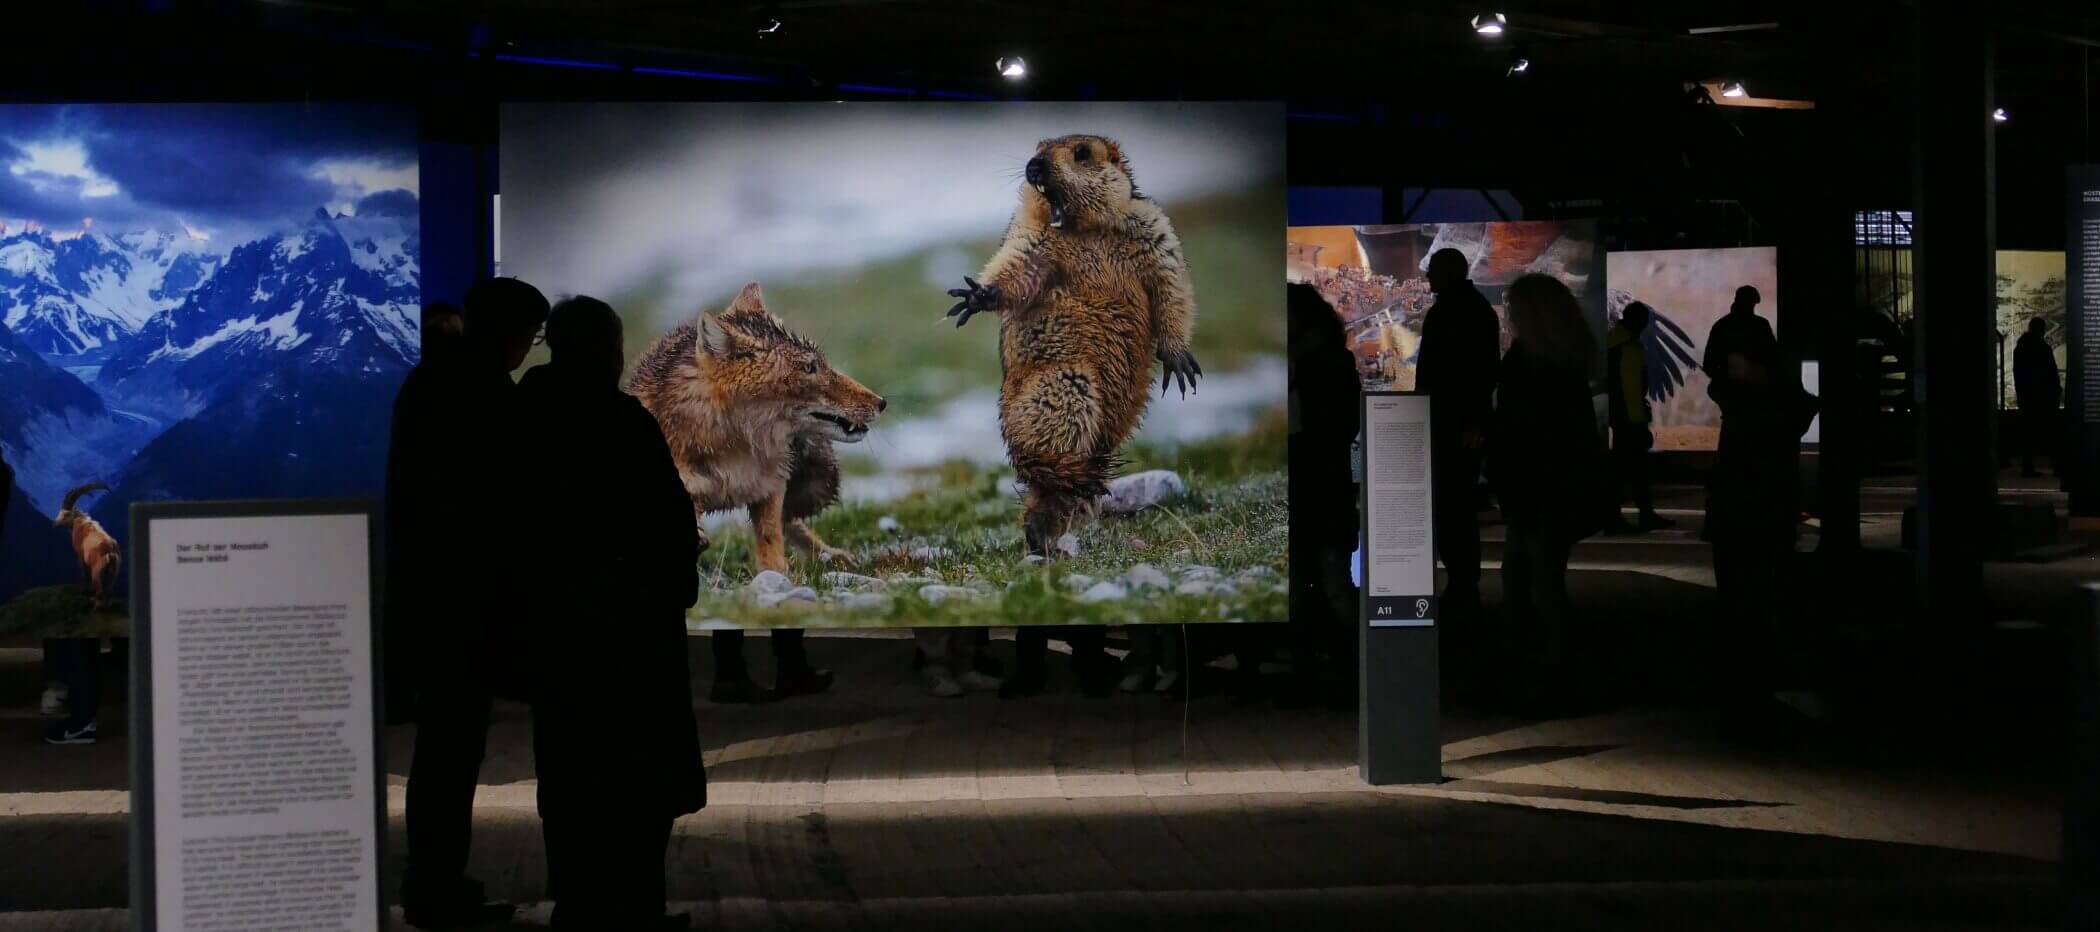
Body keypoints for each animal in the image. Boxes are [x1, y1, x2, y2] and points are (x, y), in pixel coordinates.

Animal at [621, 281, 886, 579]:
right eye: (810, 368)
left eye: (821, 364)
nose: (881, 402)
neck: (734, 450)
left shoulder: (771, 485)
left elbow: (771, 535)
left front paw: (777, 573)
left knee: (791, 522)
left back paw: (832, 556)